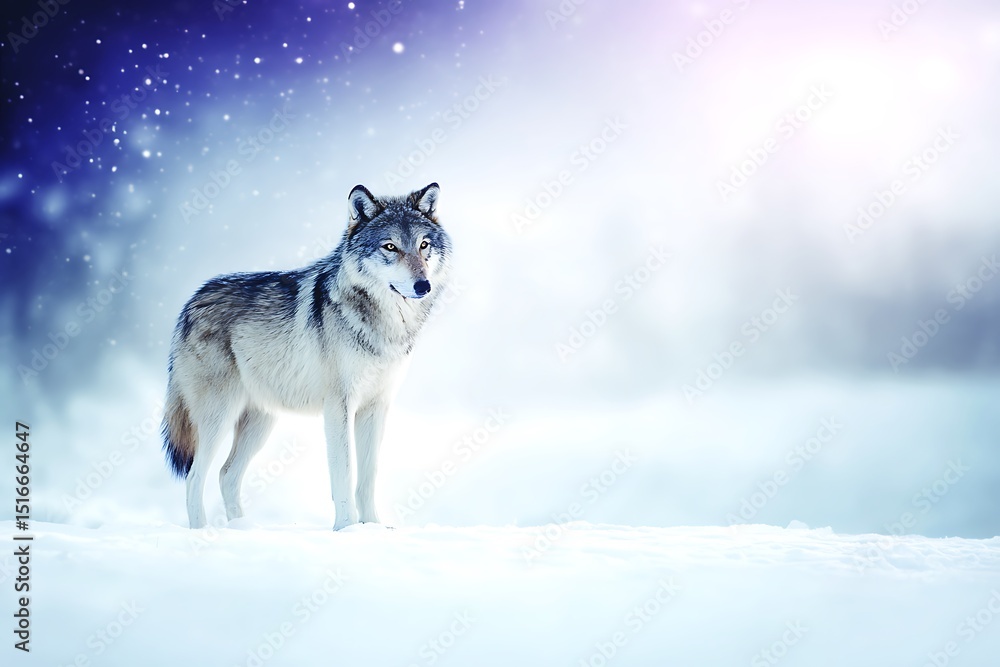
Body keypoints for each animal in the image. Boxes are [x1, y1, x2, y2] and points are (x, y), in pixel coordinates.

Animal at [161, 183, 452, 529]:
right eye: (390, 246)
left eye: (423, 245)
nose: (423, 285)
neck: (385, 325)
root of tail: (190, 302)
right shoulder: (338, 407)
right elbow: (344, 474)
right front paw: (346, 528)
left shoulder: (376, 407)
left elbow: (368, 478)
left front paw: (373, 527)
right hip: (220, 416)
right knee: (194, 477)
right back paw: (203, 531)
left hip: (261, 421)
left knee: (226, 475)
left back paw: (242, 529)